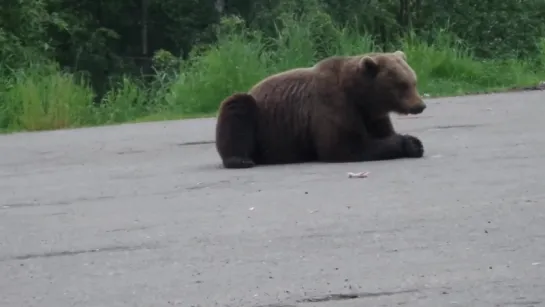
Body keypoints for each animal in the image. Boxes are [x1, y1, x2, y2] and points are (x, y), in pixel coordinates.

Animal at [212, 51, 424, 170]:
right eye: (402, 84)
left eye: (414, 81)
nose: (420, 105)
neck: (359, 95)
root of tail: (253, 88)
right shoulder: (333, 105)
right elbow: (345, 146)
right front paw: (410, 142)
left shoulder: (371, 114)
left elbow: (382, 132)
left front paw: (414, 144)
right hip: (262, 122)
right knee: (237, 108)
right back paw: (240, 160)